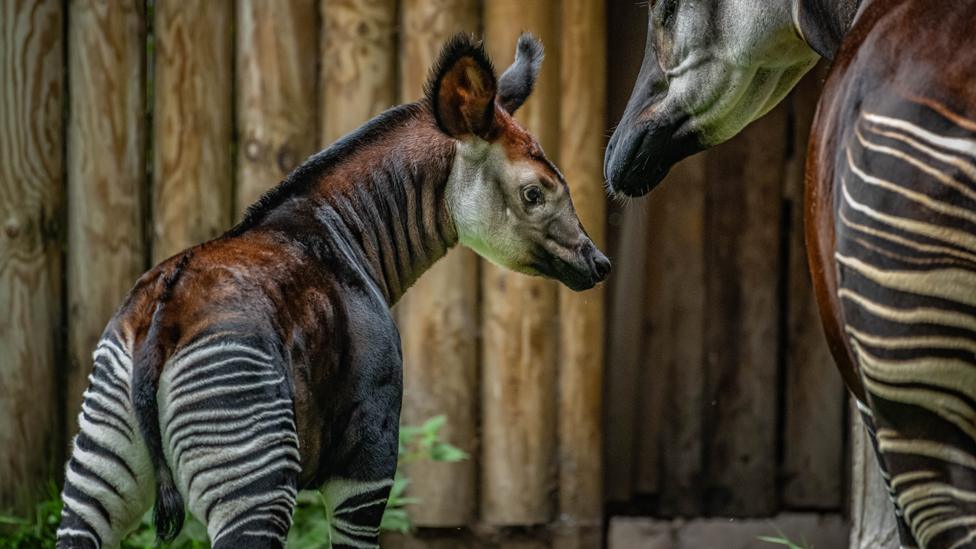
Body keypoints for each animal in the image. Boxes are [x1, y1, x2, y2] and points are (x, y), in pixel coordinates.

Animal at [55, 35, 608, 548]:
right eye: (534, 193)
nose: (598, 263)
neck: (346, 228)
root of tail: (162, 320)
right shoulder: (367, 466)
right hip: (253, 484)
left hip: (96, 472)